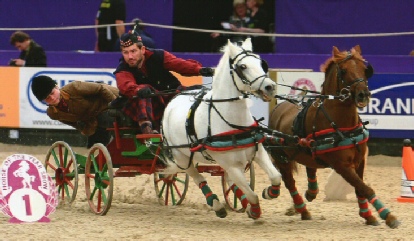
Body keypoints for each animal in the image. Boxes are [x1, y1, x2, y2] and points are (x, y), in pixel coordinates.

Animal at [160, 38, 284, 220]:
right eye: (242, 66)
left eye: (261, 62)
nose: (270, 87)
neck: (232, 121)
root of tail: (175, 98)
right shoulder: (230, 165)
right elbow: (251, 194)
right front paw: (254, 210)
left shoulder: (258, 151)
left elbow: (275, 177)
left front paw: (268, 192)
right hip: (181, 157)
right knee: (197, 177)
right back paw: (217, 205)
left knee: (228, 182)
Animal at [266, 45, 400, 228]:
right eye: (343, 71)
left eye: (365, 69)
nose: (363, 94)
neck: (342, 124)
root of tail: (279, 107)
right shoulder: (341, 165)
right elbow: (365, 188)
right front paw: (388, 215)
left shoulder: (360, 161)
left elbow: (360, 188)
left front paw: (368, 215)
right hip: (281, 157)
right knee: (289, 181)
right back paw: (300, 208)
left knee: (310, 166)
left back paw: (311, 192)